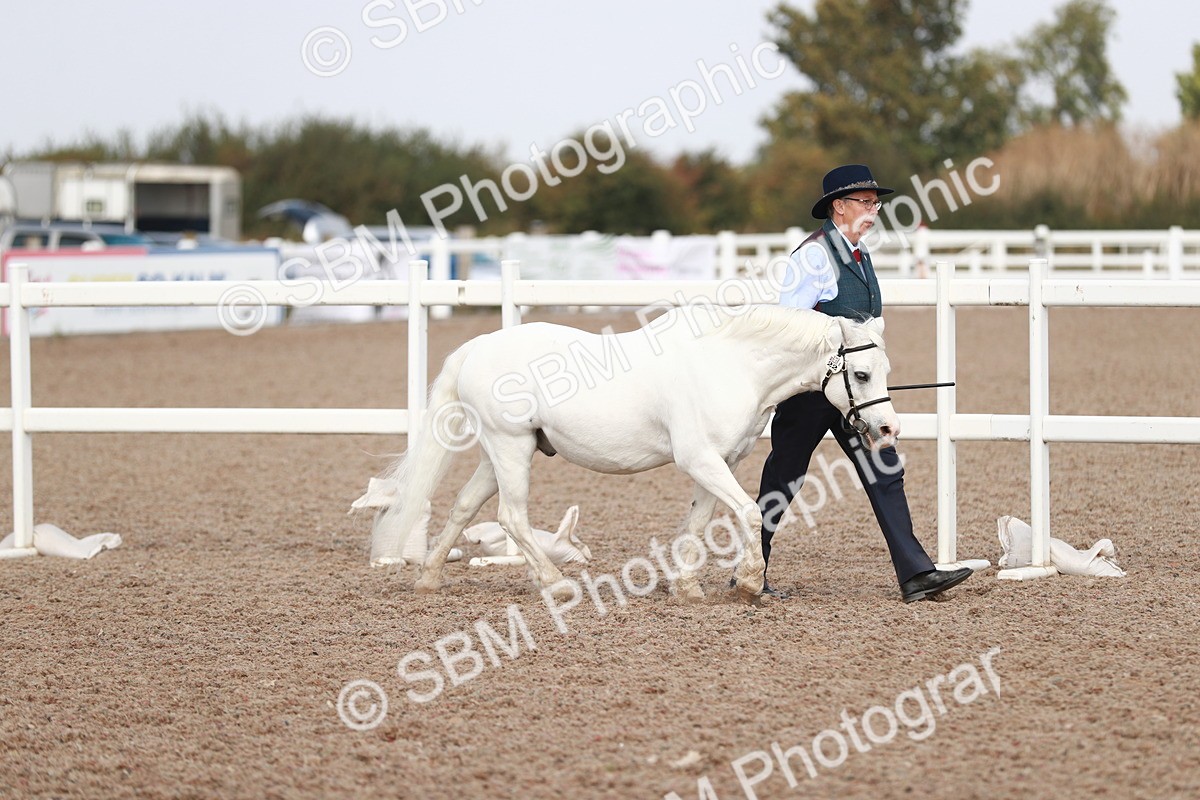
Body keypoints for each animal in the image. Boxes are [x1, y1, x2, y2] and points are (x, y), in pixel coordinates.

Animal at [362, 303, 899, 602]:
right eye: (863, 374)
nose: (888, 428)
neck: (730, 365)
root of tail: (478, 347)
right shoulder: (700, 459)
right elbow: (748, 513)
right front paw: (748, 583)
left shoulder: (720, 462)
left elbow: (699, 522)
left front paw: (687, 588)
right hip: (510, 448)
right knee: (512, 517)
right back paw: (556, 584)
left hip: (502, 453)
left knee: (464, 506)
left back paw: (429, 579)